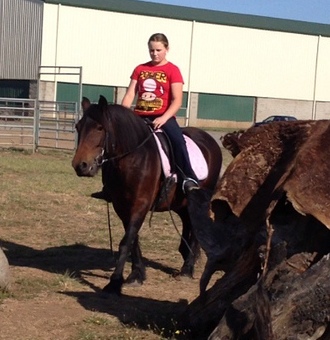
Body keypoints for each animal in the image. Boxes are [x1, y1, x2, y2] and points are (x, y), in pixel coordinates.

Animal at [72, 95, 222, 294]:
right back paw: (185, 254)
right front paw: (136, 275)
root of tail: (209, 139)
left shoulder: (140, 205)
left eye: (99, 128)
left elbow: (126, 242)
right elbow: (132, 240)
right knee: (187, 222)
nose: (80, 165)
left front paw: (114, 282)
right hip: (179, 203)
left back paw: (187, 270)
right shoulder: (122, 207)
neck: (133, 157)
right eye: (78, 127)